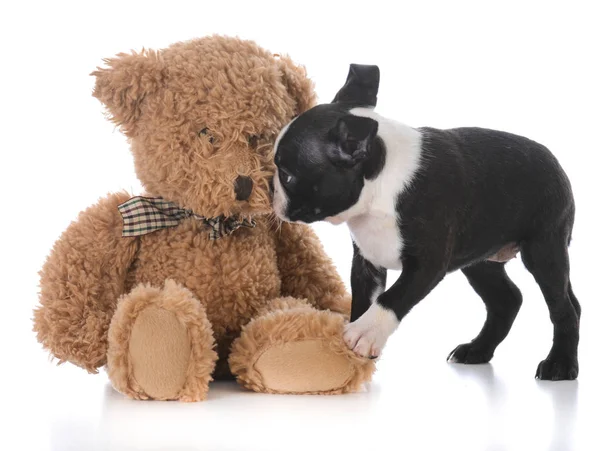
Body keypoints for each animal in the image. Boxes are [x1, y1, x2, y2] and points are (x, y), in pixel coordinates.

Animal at [274, 64, 580, 382]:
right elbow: (363, 301)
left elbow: (393, 298)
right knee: (507, 300)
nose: (271, 190)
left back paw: (560, 364)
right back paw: (477, 350)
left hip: (544, 250)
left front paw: (365, 332)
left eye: (287, 176)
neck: (380, 186)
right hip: (480, 261)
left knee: (564, 308)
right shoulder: (367, 261)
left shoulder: (427, 264)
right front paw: (355, 355)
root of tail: (556, 162)